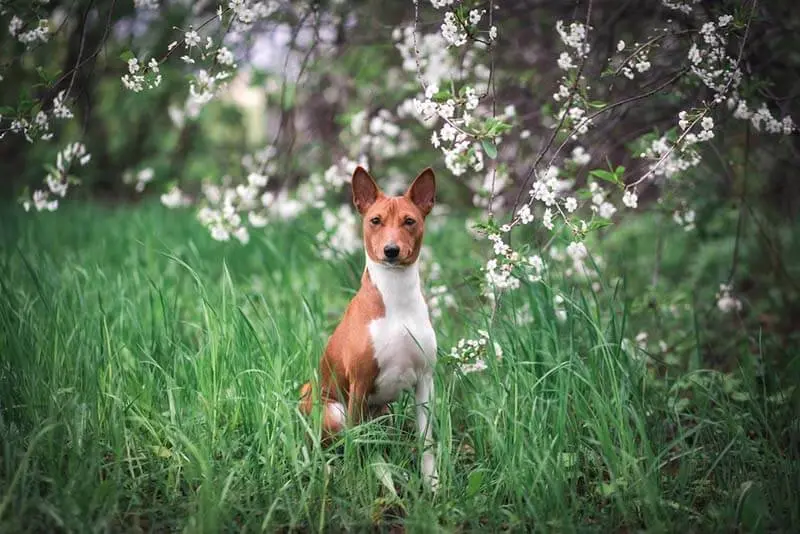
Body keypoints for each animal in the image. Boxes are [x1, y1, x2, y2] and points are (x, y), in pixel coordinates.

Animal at [298, 165, 438, 492]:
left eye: (409, 221)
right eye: (375, 220)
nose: (391, 250)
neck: (397, 303)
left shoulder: (425, 381)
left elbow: (427, 443)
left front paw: (433, 486)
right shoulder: (359, 383)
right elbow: (353, 444)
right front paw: (353, 482)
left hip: (382, 412)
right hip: (332, 409)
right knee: (334, 446)